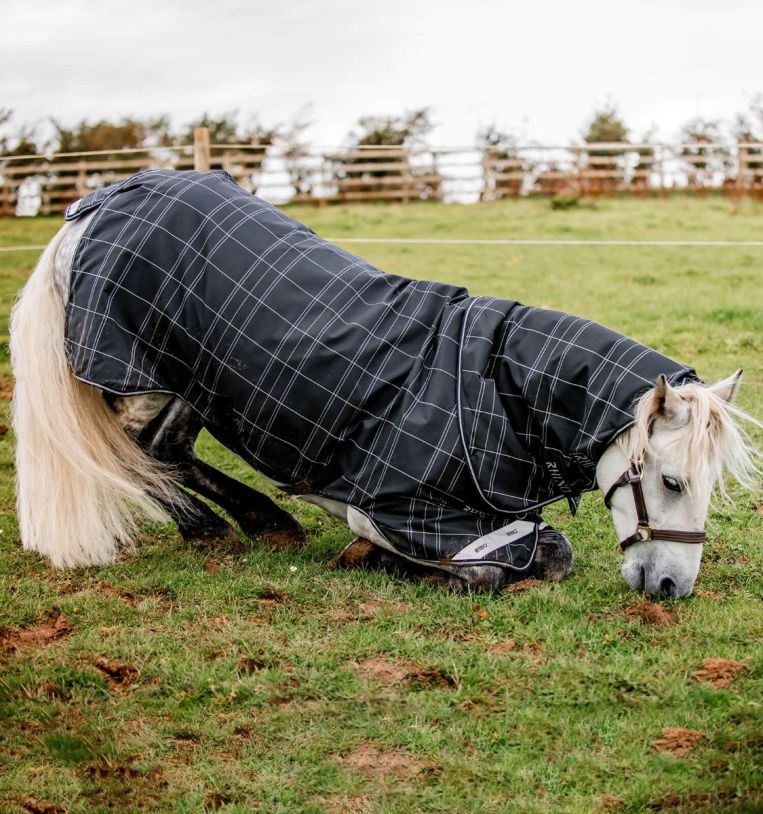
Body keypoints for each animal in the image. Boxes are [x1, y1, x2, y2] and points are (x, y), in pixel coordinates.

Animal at [9, 169, 760, 597]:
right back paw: (217, 529)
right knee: (136, 457)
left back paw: (262, 523)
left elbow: (548, 551)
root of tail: (95, 207)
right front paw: (376, 558)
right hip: (140, 376)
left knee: (168, 453)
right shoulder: (403, 506)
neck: (497, 387)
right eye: (670, 482)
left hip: (186, 380)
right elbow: (518, 560)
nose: (673, 586)